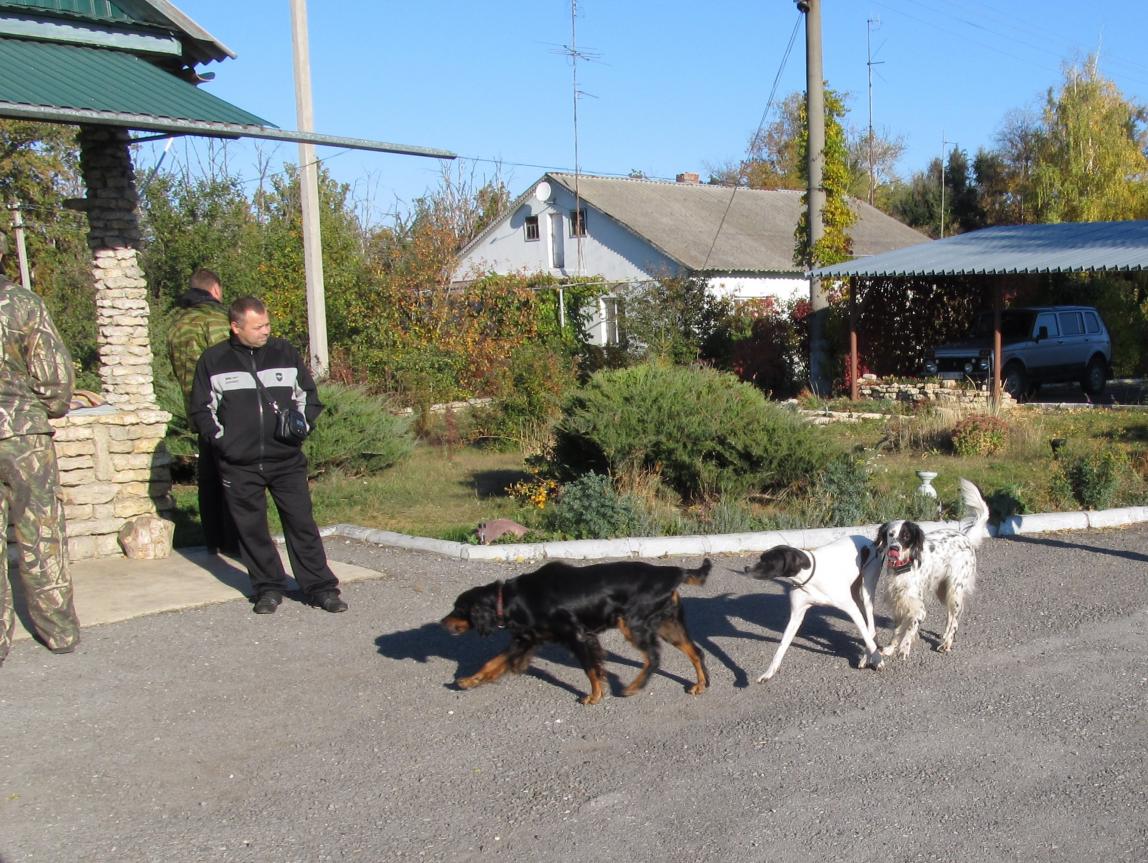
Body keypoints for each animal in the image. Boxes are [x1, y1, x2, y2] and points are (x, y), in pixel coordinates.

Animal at [441, 558, 712, 704]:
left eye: (458, 608)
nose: (442, 623)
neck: (513, 598)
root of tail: (672, 572)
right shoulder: (525, 640)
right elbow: (492, 662)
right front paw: (468, 680)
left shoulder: (577, 635)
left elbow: (590, 669)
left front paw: (594, 696)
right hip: (667, 623)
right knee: (696, 652)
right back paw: (700, 684)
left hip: (632, 623)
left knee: (654, 657)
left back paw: (633, 687)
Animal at [745, 535, 883, 682]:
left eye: (766, 561)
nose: (746, 568)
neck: (810, 577)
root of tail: (868, 540)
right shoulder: (796, 616)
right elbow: (781, 647)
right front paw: (769, 673)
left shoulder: (852, 610)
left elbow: (865, 634)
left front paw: (877, 659)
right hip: (857, 595)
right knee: (869, 623)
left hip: (867, 592)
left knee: (870, 624)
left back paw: (868, 656)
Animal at [875, 477, 990, 658]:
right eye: (890, 534)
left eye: (906, 536)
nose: (894, 548)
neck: (904, 568)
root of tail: (966, 538)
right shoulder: (898, 603)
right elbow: (897, 631)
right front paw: (890, 648)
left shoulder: (918, 608)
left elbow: (910, 628)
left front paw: (904, 647)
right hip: (943, 590)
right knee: (950, 615)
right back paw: (945, 636)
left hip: (955, 589)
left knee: (956, 619)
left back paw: (947, 643)